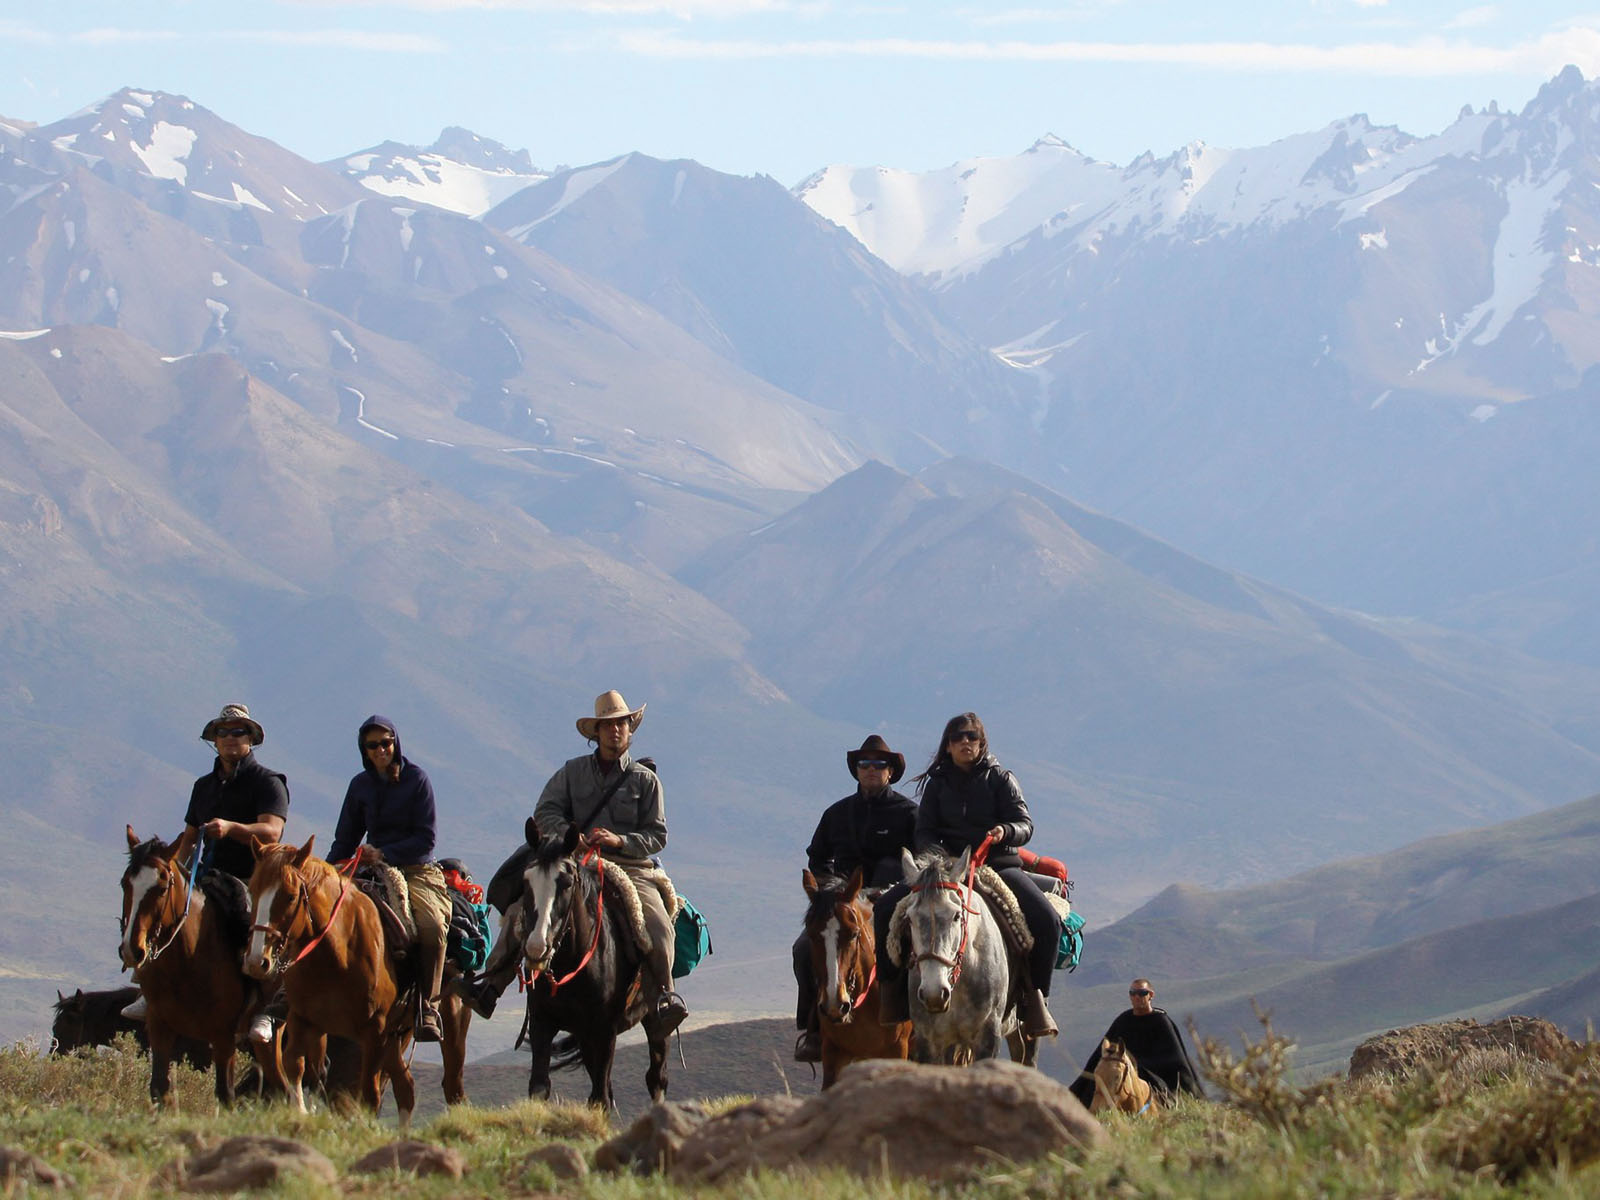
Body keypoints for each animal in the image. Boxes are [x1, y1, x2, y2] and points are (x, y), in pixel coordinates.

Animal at [117, 825, 281, 1107]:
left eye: (162, 887)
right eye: (125, 883)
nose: (131, 949)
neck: (187, 963)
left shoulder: (224, 1037)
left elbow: (225, 1094)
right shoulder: (159, 1028)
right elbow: (159, 1088)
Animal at [243, 838, 467, 1126]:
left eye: (291, 896)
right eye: (252, 890)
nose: (256, 961)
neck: (337, 953)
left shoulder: (374, 1031)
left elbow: (368, 1094)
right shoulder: (304, 1021)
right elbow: (299, 1068)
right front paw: (302, 1113)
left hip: (445, 1029)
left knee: (452, 1088)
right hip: (395, 1036)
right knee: (406, 1089)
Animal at [508, 825, 665, 1107]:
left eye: (567, 883)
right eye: (526, 881)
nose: (536, 947)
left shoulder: (605, 1030)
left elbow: (599, 1096)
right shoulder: (541, 1023)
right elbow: (540, 1086)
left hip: (654, 1019)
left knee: (656, 1077)